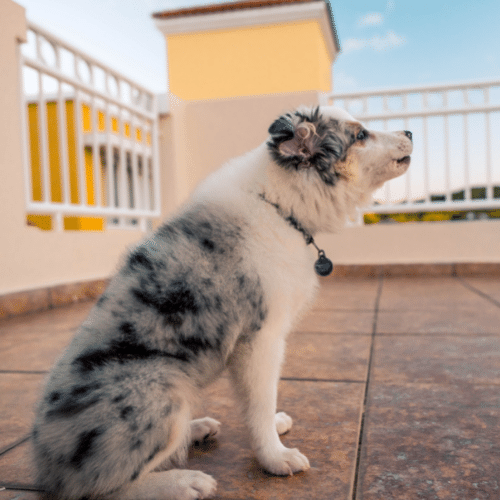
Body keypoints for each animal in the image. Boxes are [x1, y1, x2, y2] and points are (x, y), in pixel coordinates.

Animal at [33, 105, 412, 500]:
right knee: (101, 488)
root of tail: (47, 465)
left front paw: (275, 427)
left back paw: (196, 429)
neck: (277, 202)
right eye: (360, 135)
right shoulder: (261, 338)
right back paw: (185, 482)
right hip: (161, 386)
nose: (411, 132)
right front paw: (276, 457)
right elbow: (261, 401)